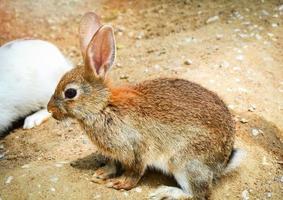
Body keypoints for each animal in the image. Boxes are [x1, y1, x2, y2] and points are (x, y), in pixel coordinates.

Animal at [47, 12, 245, 200]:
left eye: (70, 93)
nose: (50, 110)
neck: (103, 107)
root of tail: (222, 163)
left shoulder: (135, 149)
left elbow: (135, 171)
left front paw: (120, 183)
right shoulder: (116, 153)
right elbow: (112, 164)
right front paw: (101, 174)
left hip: (185, 163)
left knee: (199, 192)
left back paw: (166, 192)